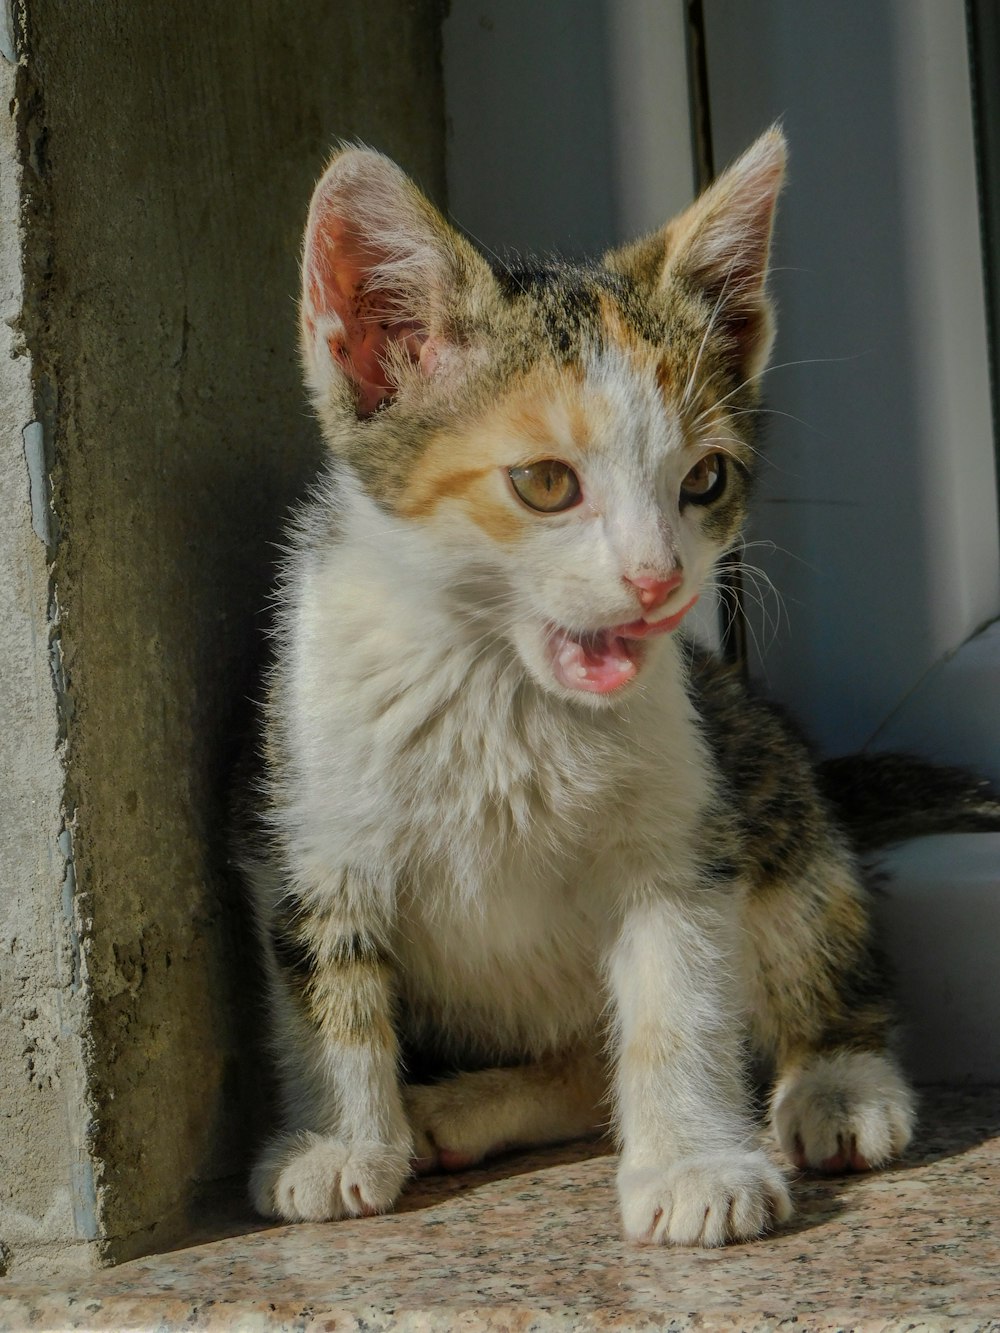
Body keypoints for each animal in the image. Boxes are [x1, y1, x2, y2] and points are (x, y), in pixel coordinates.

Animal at [238, 129, 1000, 1242]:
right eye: (545, 483)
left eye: (705, 480)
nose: (658, 578)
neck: (499, 684)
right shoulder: (306, 810)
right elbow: (319, 975)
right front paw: (336, 1140)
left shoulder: (683, 827)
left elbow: (676, 997)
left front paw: (693, 1162)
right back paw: (468, 1104)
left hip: (758, 765)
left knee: (818, 926)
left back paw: (839, 1081)